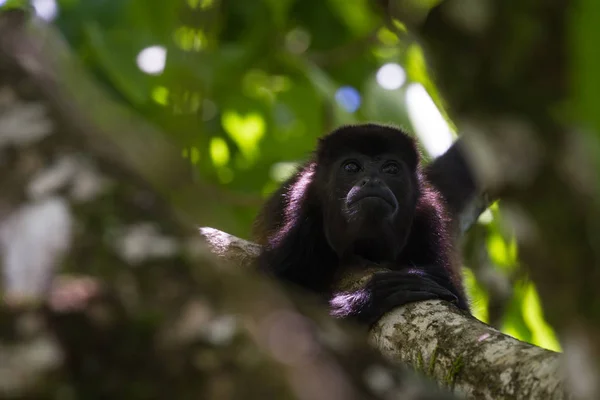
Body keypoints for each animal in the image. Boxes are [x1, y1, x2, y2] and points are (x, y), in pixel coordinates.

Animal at [253, 123, 474, 326]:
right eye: (351, 167)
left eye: (391, 168)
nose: (373, 180)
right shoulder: (306, 210)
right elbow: (266, 300)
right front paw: (373, 296)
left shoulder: (428, 220)